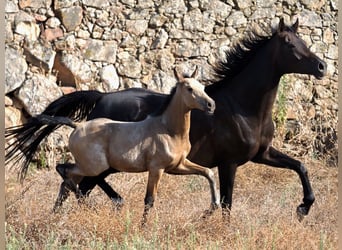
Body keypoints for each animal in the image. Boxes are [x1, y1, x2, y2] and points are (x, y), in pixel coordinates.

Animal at [5, 18, 326, 221]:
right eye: (289, 43)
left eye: (303, 40)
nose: (322, 66)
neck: (242, 108)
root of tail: (101, 97)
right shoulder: (229, 163)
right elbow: (226, 203)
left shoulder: (262, 154)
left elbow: (301, 167)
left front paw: (303, 208)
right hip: (106, 164)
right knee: (81, 184)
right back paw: (112, 204)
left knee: (77, 186)